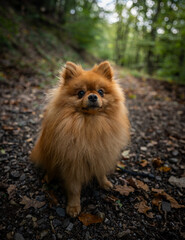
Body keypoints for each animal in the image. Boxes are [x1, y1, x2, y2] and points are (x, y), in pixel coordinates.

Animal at [30, 61, 130, 217]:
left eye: (101, 91)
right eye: (81, 93)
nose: (93, 96)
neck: (91, 123)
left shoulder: (100, 154)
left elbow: (100, 171)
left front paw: (104, 183)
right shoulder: (72, 163)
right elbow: (74, 189)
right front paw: (73, 206)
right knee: (50, 167)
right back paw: (48, 177)